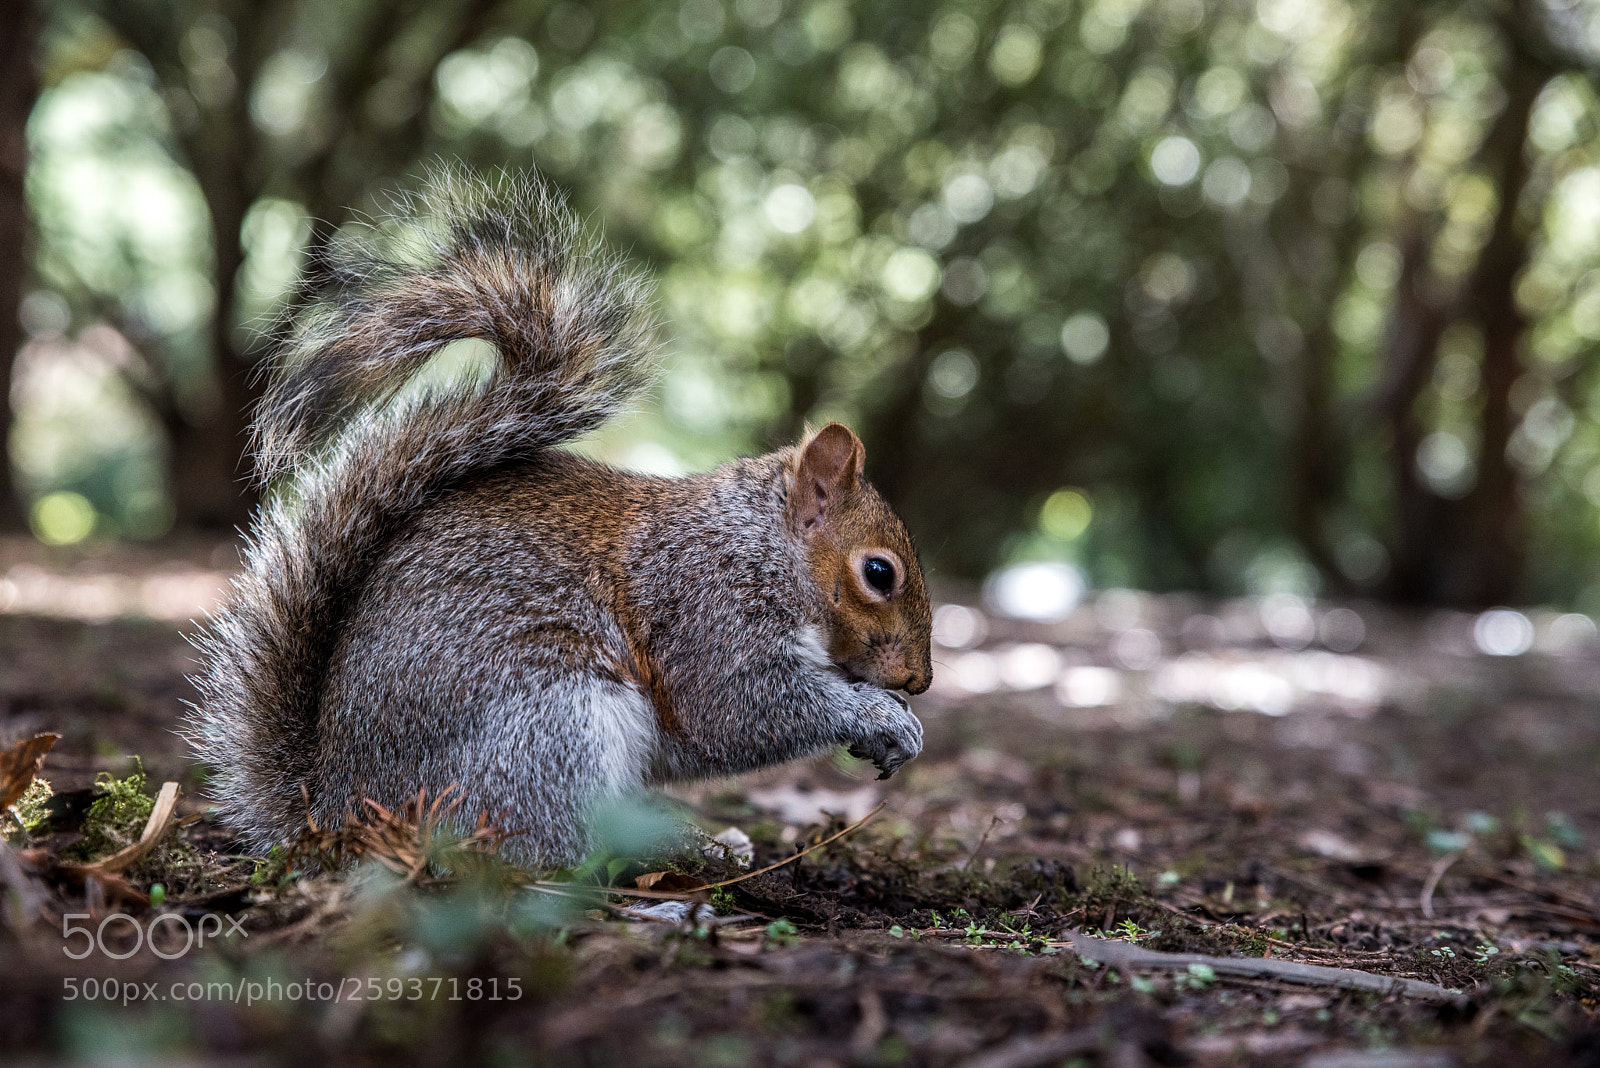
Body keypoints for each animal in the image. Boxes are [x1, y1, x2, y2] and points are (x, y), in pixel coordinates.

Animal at [186, 170, 933, 866]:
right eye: (878, 573)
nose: (918, 682)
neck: (761, 545)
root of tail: (340, 814)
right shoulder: (705, 608)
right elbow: (738, 707)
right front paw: (880, 717)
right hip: (552, 727)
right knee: (550, 848)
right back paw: (678, 851)